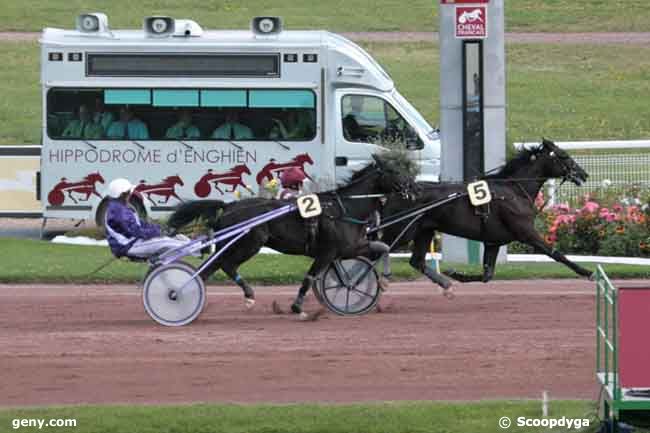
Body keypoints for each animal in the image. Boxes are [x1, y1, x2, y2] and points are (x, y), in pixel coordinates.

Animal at [168, 154, 416, 312]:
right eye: (394, 171)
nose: (413, 189)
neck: (344, 209)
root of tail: (229, 206)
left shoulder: (346, 249)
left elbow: (382, 248)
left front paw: (375, 283)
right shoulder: (330, 251)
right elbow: (310, 277)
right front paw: (297, 307)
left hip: (231, 244)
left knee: (210, 268)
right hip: (249, 243)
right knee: (225, 265)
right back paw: (245, 296)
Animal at [378, 138, 588, 286]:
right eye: (564, 155)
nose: (584, 174)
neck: (514, 191)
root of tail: (397, 192)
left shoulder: (493, 241)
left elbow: (487, 274)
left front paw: (456, 274)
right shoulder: (527, 233)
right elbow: (556, 254)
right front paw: (587, 272)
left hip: (423, 231)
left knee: (416, 261)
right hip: (401, 231)